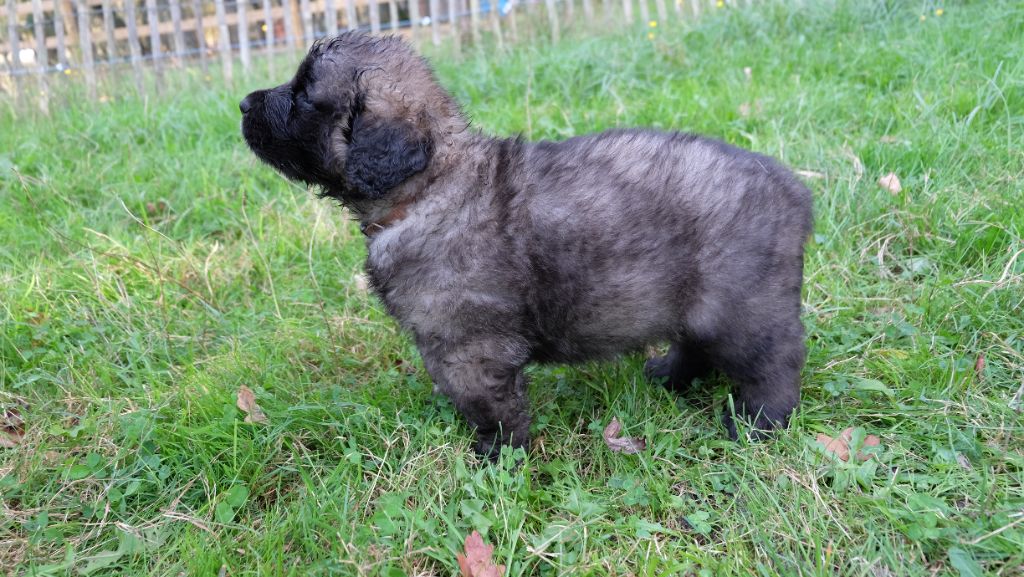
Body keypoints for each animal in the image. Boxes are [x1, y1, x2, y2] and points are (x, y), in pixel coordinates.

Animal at [240, 32, 813, 458]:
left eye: (303, 94)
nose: (243, 102)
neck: (431, 186)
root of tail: (794, 190)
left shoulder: (472, 349)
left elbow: (494, 410)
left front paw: (497, 459)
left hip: (742, 307)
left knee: (775, 363)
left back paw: (757, 424)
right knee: (696, 345)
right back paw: (668, 375)